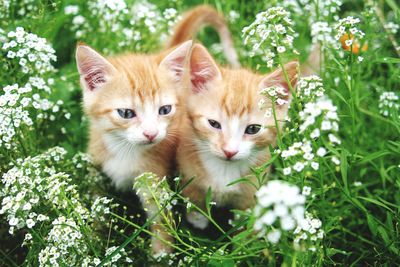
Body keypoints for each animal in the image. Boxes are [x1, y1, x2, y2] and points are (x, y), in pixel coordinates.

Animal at [75, 5, 238, 254]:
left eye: (165, 109)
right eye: (126, 113)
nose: (151, 134)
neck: (125, 150)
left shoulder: (154, 179)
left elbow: (161, 220)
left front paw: (160, 254)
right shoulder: (98, 165)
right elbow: (97, 202)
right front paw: (92, 238)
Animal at [177, 44, 296, 230]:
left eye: (253, 129)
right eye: (214, 124)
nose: (229, 151)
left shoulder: (251, 193)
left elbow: (245, 226)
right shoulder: (188, 173)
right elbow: (194, 202)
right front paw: (198, 220)